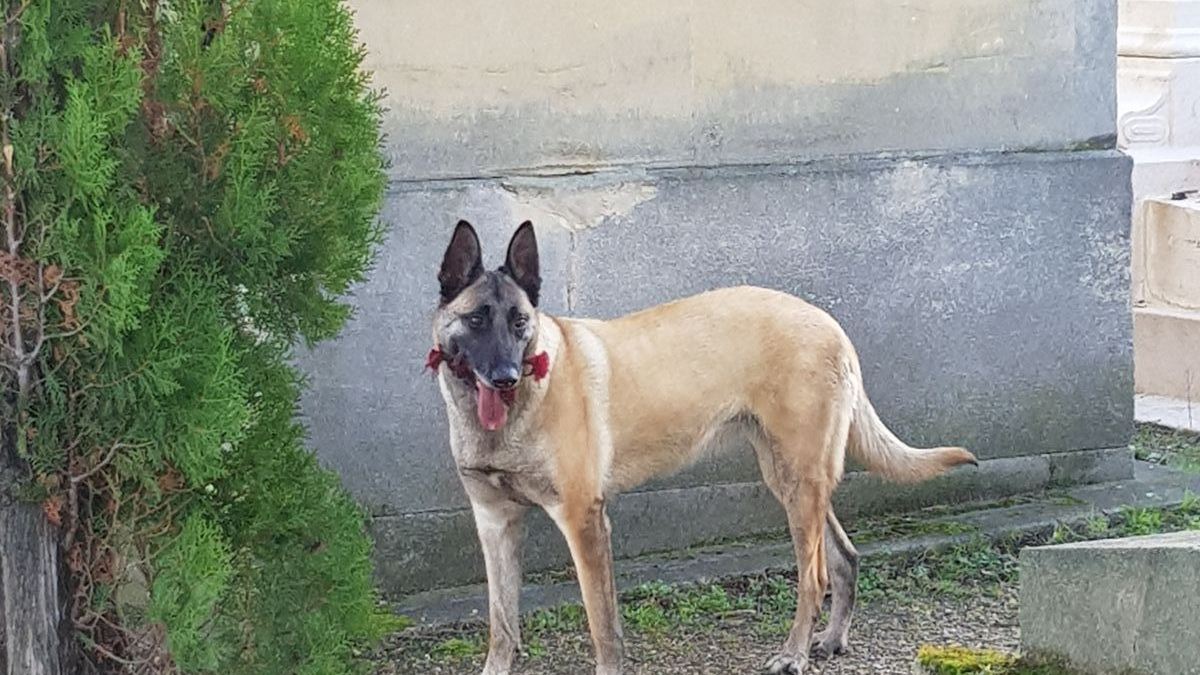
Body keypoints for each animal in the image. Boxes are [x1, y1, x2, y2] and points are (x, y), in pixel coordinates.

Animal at [429, 218, 974, 667]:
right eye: (477, 319)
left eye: (519, 322)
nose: (504, 377)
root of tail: (830, 324)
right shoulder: (496, 523)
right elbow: (502, 626)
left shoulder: (584, 522)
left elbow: (603, 629)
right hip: (790, 479)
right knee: (844, 557)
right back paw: (832, 639)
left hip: (799, 481)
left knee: (814, 576)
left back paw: (793, 655)